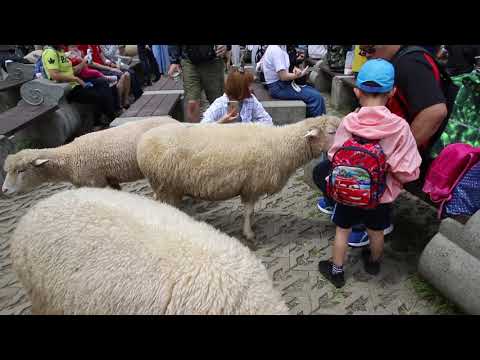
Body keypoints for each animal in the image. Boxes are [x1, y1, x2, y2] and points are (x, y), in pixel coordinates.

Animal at [1, 115, 180, 195]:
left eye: (21, 170)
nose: (4, 190)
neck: (69, 158)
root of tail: (175, 121)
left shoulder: (95, 182)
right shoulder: (109, 179)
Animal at [137, 114, 340, 242]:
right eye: (331, 132)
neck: (280, 145)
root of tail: (143, 141)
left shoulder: (251, 188)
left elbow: (252, 211)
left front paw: (253, 225)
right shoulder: (251, 186)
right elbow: (248, 212)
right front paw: (248, 233)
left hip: (168, 186)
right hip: (165, 185)